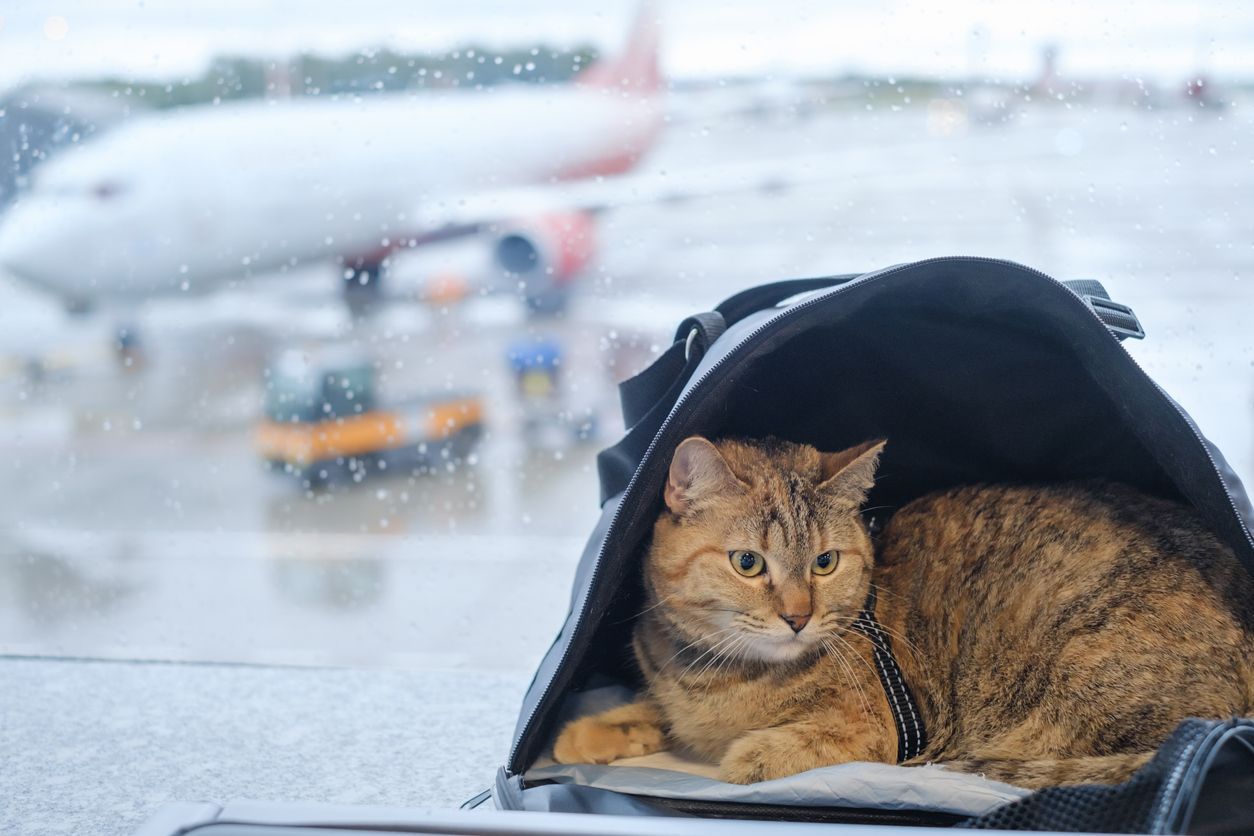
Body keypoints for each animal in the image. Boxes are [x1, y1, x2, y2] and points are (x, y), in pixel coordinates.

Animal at [556, 438, 1254, 792]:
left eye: (825, 562)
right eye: (748, 563)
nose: (797, 617)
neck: (716, 676)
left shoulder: (885, 729)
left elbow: (794, 743)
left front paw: (750, 755)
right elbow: (650, 710)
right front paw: (588, 732)